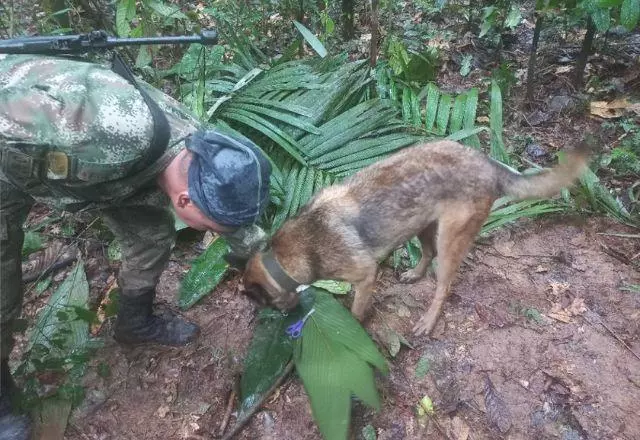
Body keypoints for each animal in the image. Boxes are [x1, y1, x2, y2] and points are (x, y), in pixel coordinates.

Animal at [241, 139, 592, 336]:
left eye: (262, 303)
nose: (283, 316)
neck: (285, 256)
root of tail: (489, 164)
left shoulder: (365, 276)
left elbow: (356, 310)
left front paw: (353, 328)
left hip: (451, 240)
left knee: (444, 286)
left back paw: (429, 320)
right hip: (423, 224)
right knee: (427, 253)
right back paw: (414, 274)